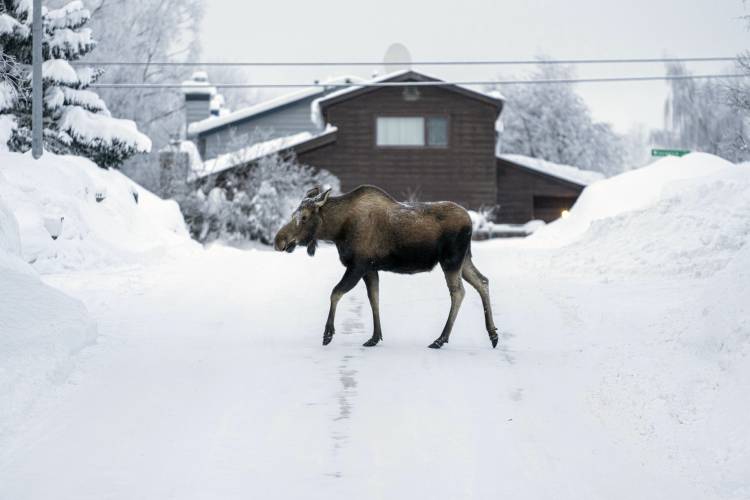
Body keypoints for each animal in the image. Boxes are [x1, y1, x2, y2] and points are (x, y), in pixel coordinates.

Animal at [273, 185, 499, 349]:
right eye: (293, 214)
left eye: (303, 217)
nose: (278, 240)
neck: (337, 231)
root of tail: (470, 221)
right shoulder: (371, 269)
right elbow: (374, 298)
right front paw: (375, 337)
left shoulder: (357, 265)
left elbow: (335, 293)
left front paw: (328, 334)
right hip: (464, 259)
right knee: (482, 281)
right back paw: (493, 334)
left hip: (451, 260)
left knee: (458, 292)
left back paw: (440, 339)